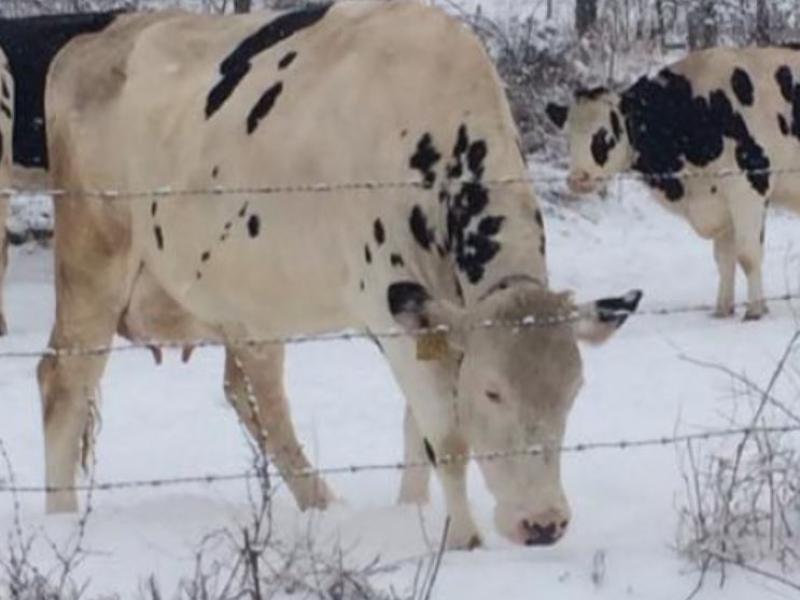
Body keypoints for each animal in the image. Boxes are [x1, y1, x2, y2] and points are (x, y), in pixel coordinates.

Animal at [36, 2, 641, 549]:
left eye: (574, 391)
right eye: (492, 391)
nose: (543, 524)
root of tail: (94, 40)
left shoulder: (429, 313)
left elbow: (416, 428)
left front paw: (412, 510)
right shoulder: (390, 302)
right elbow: (446, 436)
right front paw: (463, 542)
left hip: (252, 305)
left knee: (255, 399)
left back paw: (321, 505)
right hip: (92, 262)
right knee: (63, 384)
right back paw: (61, 521)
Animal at [546, 47, 800, 320]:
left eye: (604, 135)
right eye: (568, 137)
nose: (577, 179)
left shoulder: (748, 187)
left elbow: (747, 255)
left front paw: (755, 311)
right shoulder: (720, 202)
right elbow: (724, 260)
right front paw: (722, 311)